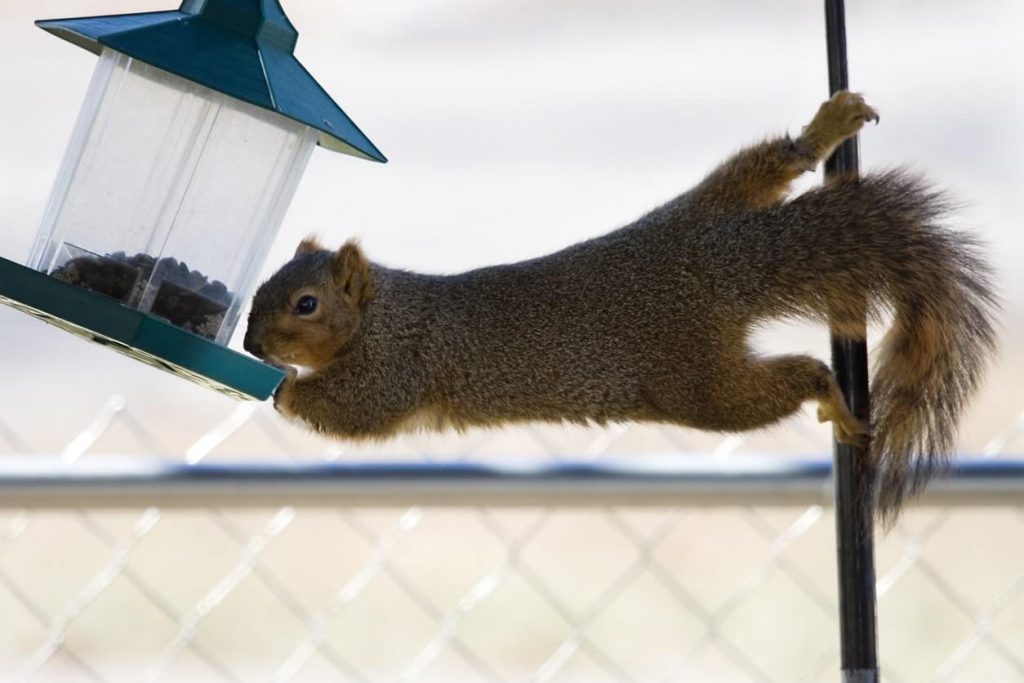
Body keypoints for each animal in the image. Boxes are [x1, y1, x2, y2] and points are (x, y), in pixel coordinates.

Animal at [243, 92, 995, 524]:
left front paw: (282, 388)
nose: (251, 346)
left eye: (305, 303)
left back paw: (832, 395)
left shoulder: (395, 365)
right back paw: (825, 126)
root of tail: (729, 267)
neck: (382, 311)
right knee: (769, 164)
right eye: (260, 290)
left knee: (789, 378)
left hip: (701, 386)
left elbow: (354, 411)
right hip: (705, 209)